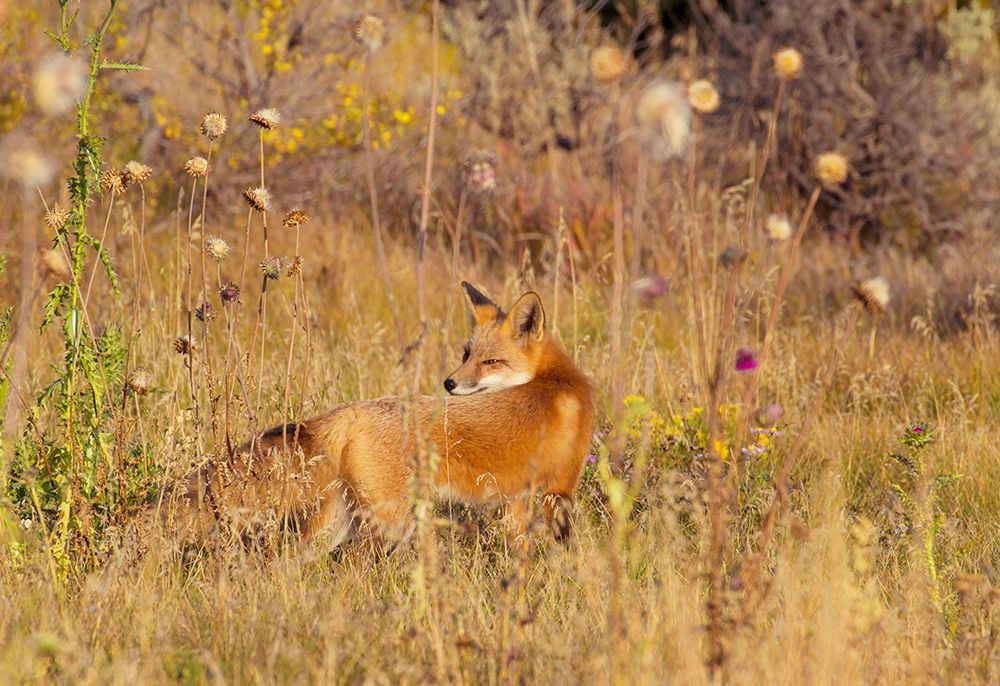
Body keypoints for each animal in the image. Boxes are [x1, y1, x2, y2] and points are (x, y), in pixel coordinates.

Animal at [164, 282, 594, 550]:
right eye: (467, 354)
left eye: (490, 361)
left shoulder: (518, 499)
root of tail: (351, 409)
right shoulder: (559, 489)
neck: (557, 380)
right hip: (391, 521)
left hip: (337, 521)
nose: (450, 383)